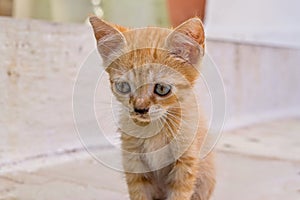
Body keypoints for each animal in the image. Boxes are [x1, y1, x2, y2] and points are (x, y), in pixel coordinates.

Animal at [89, 16, 216, 200]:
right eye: (123, 87)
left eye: (162, 88)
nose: (139, 109)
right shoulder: (134, 163)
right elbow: (139, 193)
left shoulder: (186, 162)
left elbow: (179, 194)